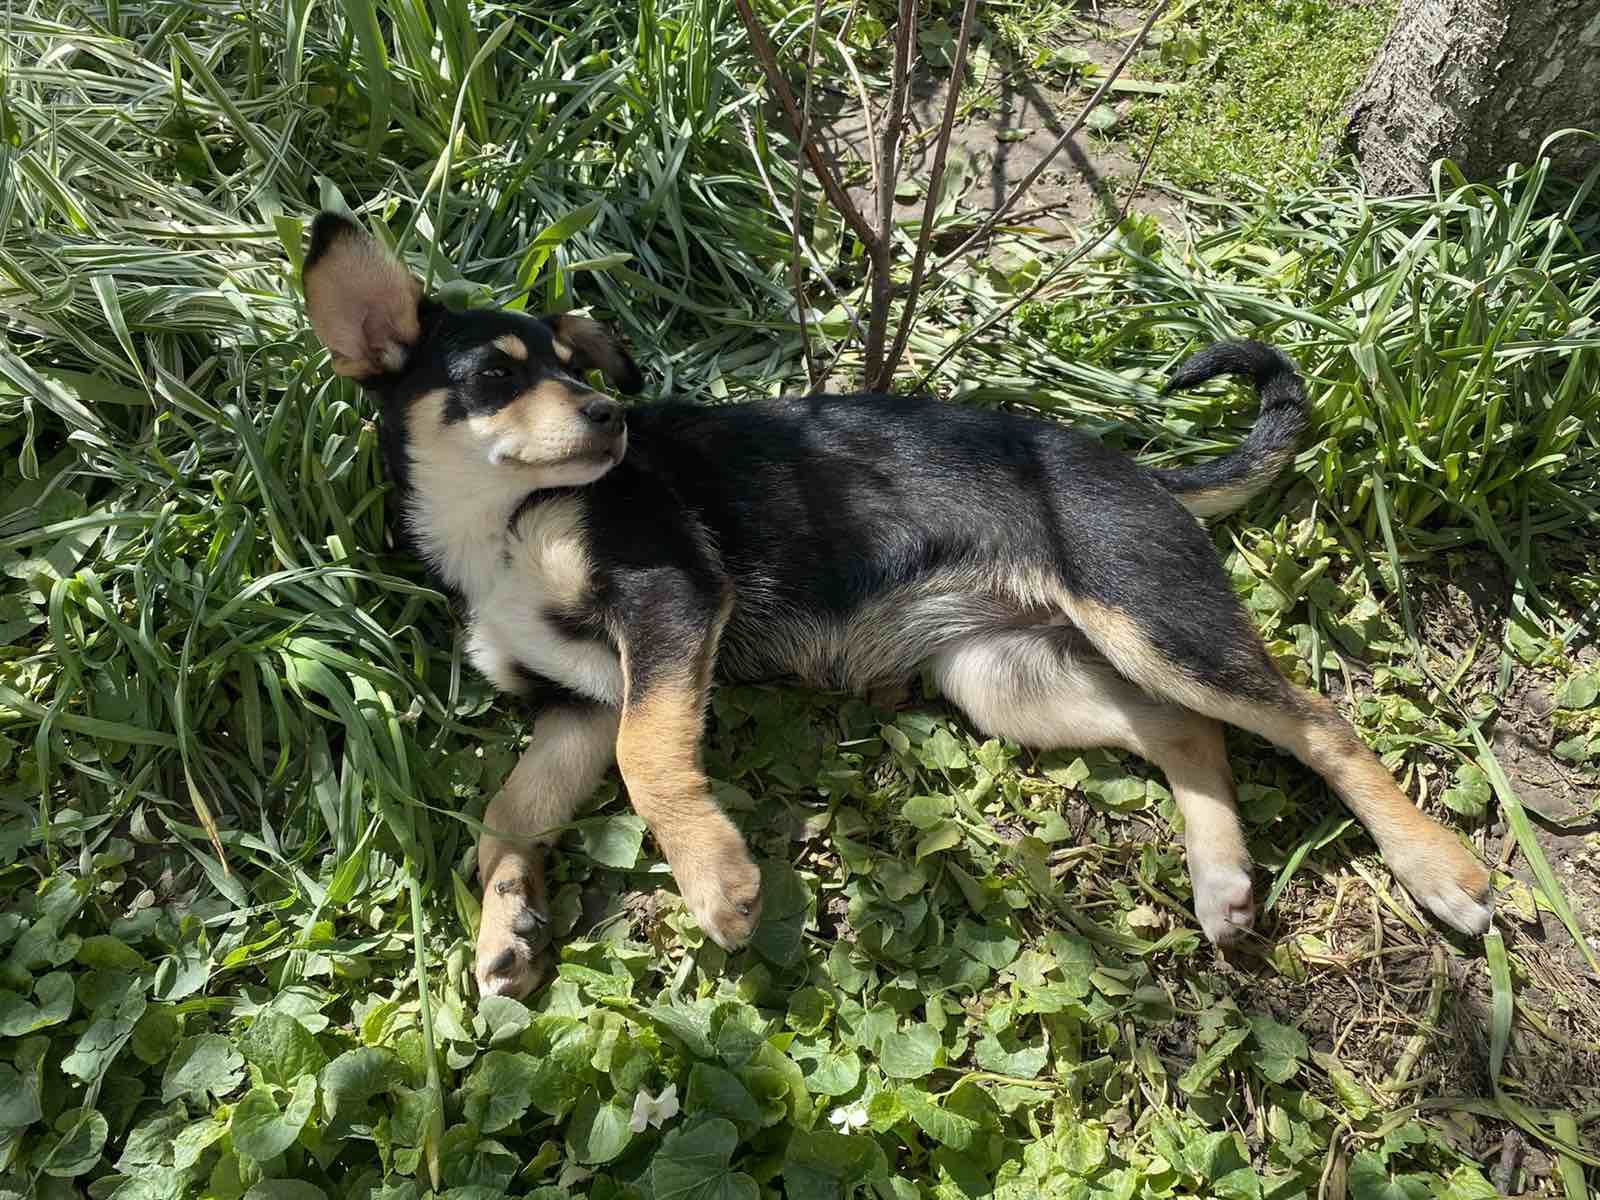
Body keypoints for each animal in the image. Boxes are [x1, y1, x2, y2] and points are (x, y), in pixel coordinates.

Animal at [302, 214, 1497, 998]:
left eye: (571, 366)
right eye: (496, 378)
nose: (609, 416)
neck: (502, 527)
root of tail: (1145, 474)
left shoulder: (669, 606)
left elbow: (651, 763)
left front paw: (717, 882)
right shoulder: (579, 702)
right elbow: (506, 814)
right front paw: (503, 930)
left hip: (1146, 618)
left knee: (1314, 723)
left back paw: (1439, 869)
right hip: (1010, 678)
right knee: (1182, 731)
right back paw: (1222, 881)